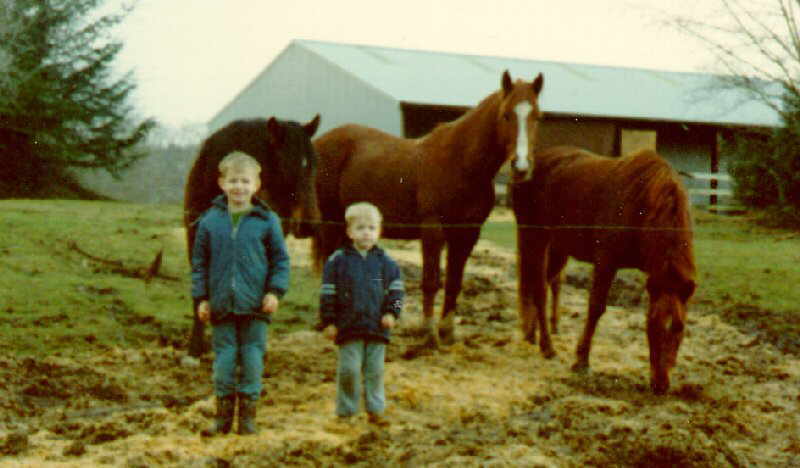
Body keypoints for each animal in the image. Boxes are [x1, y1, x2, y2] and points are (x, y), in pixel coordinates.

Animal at [184, 114, 318, 354]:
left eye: (314, 165)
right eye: (285, 166)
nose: (308, 225)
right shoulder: (196, 237)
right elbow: (200, 294)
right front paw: (196, 347)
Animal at [312, 69, 544, 348]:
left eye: (537, 116)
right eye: (506, 115)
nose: (521, 167)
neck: (461, 162)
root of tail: (322, 141)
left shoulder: (467, 234)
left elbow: (454, 282)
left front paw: (448, 332)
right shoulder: (433, 230)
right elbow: (431, 282)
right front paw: (429, 333)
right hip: (331, 220)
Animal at [512, 147, 692, 394]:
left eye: (679, 328)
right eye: (651, 327)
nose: (660, 385)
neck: (643, 203)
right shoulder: (606, 262)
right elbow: (596, 307)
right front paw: (581, 361)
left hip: (558, 246)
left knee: (542, 284)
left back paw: (531, 334)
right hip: (534, 237)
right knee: (539, 289)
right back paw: (547, 347)